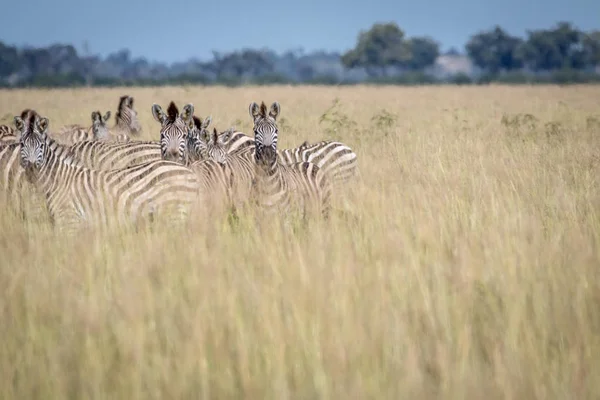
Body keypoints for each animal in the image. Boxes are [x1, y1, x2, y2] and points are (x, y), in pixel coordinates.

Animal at [15, 112, 204, 233]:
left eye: (40, 146)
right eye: (22, 145)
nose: (31, 168)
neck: (59, 179)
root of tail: (187, 170)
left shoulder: (69, 221)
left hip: (175, 214)